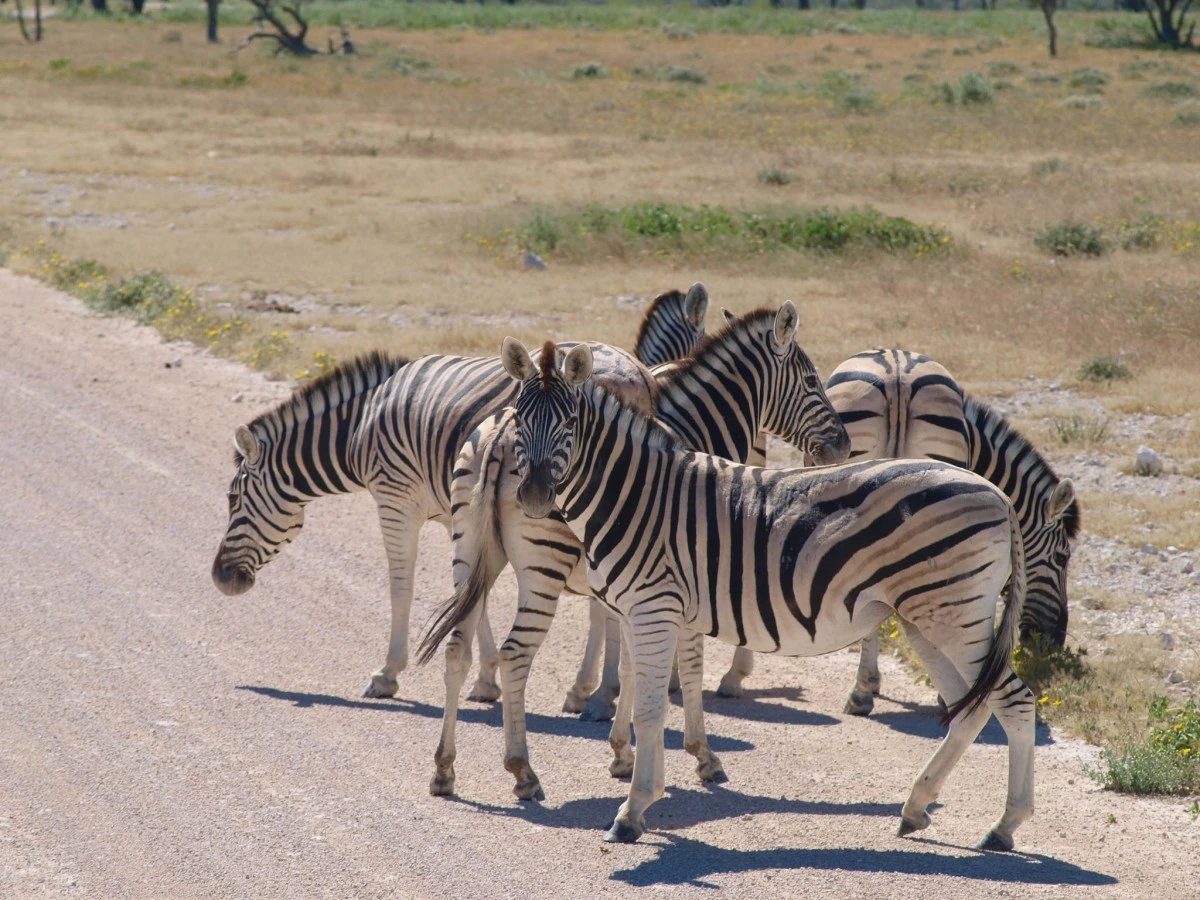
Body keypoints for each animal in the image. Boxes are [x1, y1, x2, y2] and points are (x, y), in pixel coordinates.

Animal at [207, 340, 657, 700]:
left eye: (233, 499)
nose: (220, 579)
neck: (359, 426)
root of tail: (632, 369)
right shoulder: (454, 510)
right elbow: (470, 593)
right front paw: (486, 678)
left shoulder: (396, 501)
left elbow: (401, 587)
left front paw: (387, 673)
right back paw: (594, 691)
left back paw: (598, 691)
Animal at [417, 303, 849, 801]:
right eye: (813, 380)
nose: (843, 446)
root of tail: (499, 438)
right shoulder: (685, 578)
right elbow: (685, 666)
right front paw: (700, 756)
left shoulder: (636, 583)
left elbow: (629, 665)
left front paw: (622, 750)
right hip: (542, 565)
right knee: (515, 654)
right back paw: (523, 771)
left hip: (468, 550)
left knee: (456, 650)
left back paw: (444, 769)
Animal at [477, 340, 1032, 854]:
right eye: (519, 418)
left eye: (569, 423)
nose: (534, 499)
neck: (634, 496)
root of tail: (996, 493)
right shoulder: (642, 612)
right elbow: (647, 701)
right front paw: (645, 791)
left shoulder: (654, 609)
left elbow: (650, 709)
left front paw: (632, 812)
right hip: (928, 618)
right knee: (971, 708)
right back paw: (917, 807)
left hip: (955, 615)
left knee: (1014, 699)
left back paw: (1004, 826)